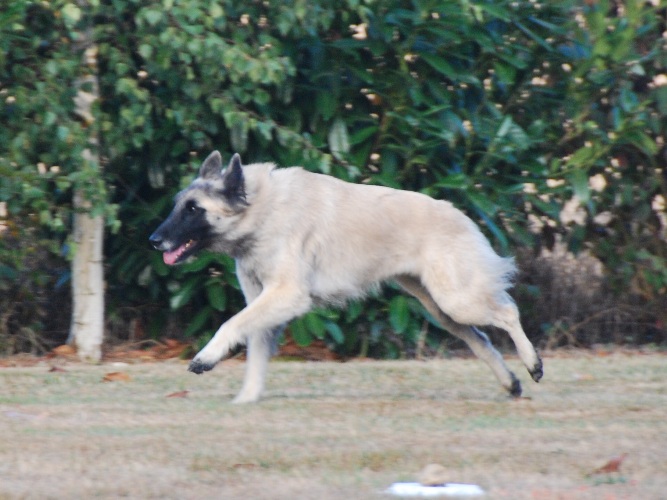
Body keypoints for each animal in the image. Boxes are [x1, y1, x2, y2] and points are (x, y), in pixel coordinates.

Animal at [150, 151, 544, 402]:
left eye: (193, 209)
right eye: (177, 205)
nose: (154, 240)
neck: (261, 209)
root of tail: (462, 216)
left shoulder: (285, 296)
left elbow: (230, 324)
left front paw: (206, 357)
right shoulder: (264, 304)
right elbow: (256, 357)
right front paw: (246, 400)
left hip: (457, 300)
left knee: (508, 313)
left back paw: (532, 364)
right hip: (442, 309)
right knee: (481, 339)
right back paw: (510, 383)